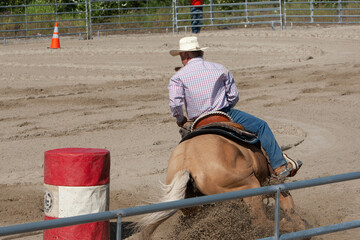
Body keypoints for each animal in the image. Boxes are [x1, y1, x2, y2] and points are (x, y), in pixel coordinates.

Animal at [135, 113, 306, 239]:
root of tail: (187, 165)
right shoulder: (273, 184)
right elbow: (289, 206)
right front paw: (301, 227)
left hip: (194, 210)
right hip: (250, 188)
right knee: (260, 222)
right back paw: (286, 226)